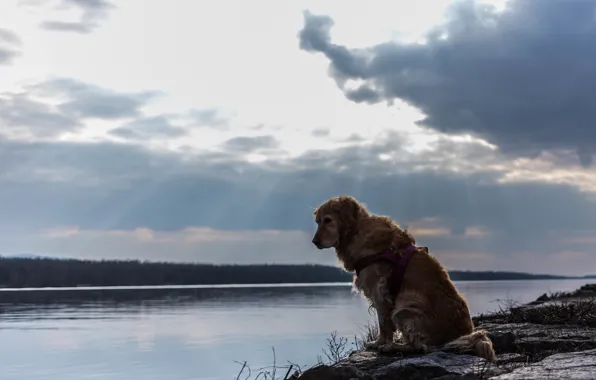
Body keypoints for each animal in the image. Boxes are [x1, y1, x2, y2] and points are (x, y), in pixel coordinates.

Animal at [310, 196, 496, 362]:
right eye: (317, 222)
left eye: (328, 220)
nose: (314, 241)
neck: (356, 231)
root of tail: (463, 335)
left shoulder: (379, 290)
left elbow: (383, 324)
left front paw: (379, 343)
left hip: (404, 309)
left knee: (420, 347)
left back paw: (393, 347)